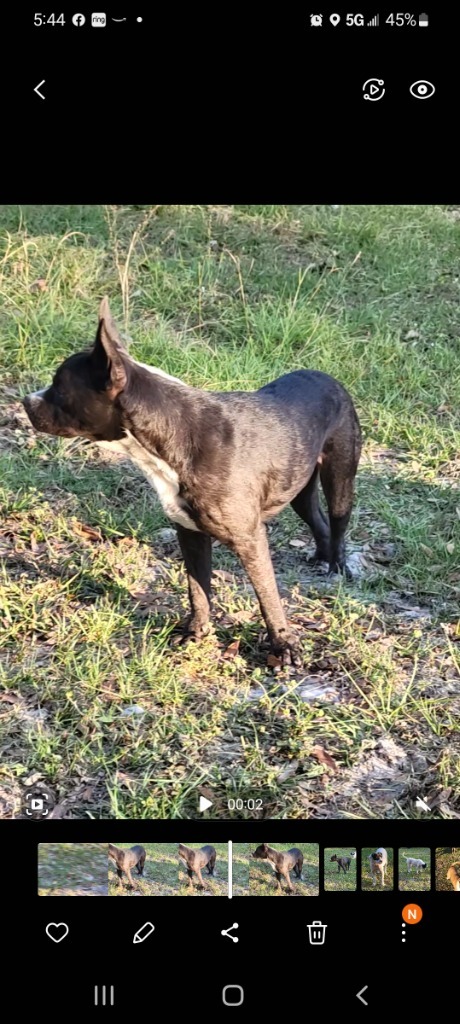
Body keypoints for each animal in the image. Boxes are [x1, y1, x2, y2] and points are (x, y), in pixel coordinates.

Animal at [22, 294, 362, 671]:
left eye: (58, 388)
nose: (26, 401)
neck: (169, 436)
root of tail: (327, 377)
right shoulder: (190, 533)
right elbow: (198, 589)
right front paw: (196, 634)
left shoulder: (250, 539)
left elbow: (267, 595)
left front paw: (284, 646)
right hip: (299, 488)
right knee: (318, 521)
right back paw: (321, 557)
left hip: (340, 479)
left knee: (338, 523)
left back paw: (337, 567)